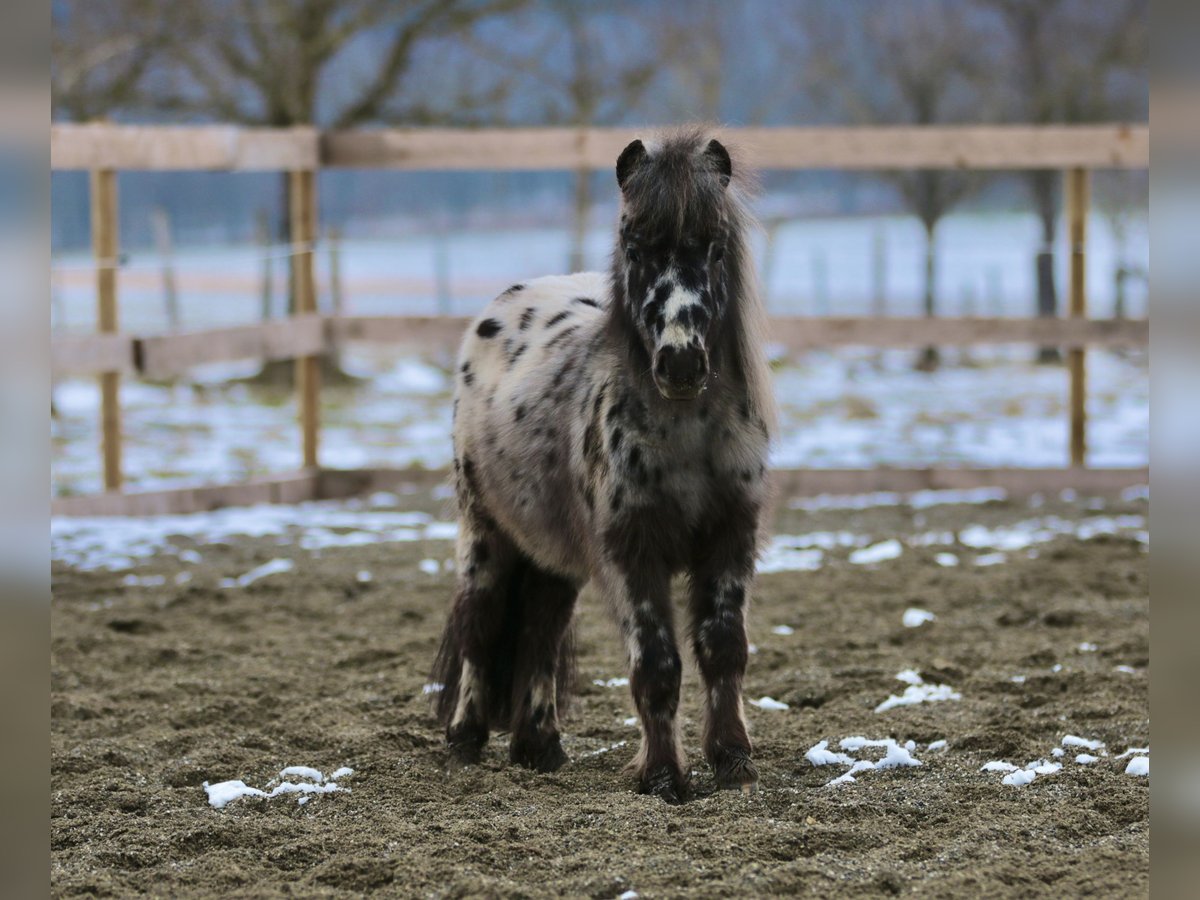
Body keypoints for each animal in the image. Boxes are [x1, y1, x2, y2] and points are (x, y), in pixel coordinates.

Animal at [434, 127, 777, 801]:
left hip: (550, 552)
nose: (680, 363)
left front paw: (732, 760)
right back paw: (465, 741)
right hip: (485, 534)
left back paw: (540, 747)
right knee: (479, 625)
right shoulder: (630, 550)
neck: (688, 432)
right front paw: (664, 776)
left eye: (715, 248)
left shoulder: (730, 537)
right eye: (635, 247)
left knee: (539, 628)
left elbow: (723, 647)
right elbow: (657, 664)